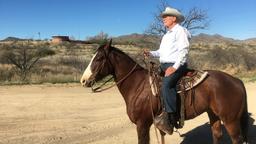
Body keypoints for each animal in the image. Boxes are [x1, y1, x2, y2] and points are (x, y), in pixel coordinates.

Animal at [80, 40, 248, 144]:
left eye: (99, 58)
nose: (83, 80)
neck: (137, 85)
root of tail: (237, 81)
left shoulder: (142, 124)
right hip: (213, 114)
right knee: (217, 134)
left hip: (231, 120)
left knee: (236, 139)